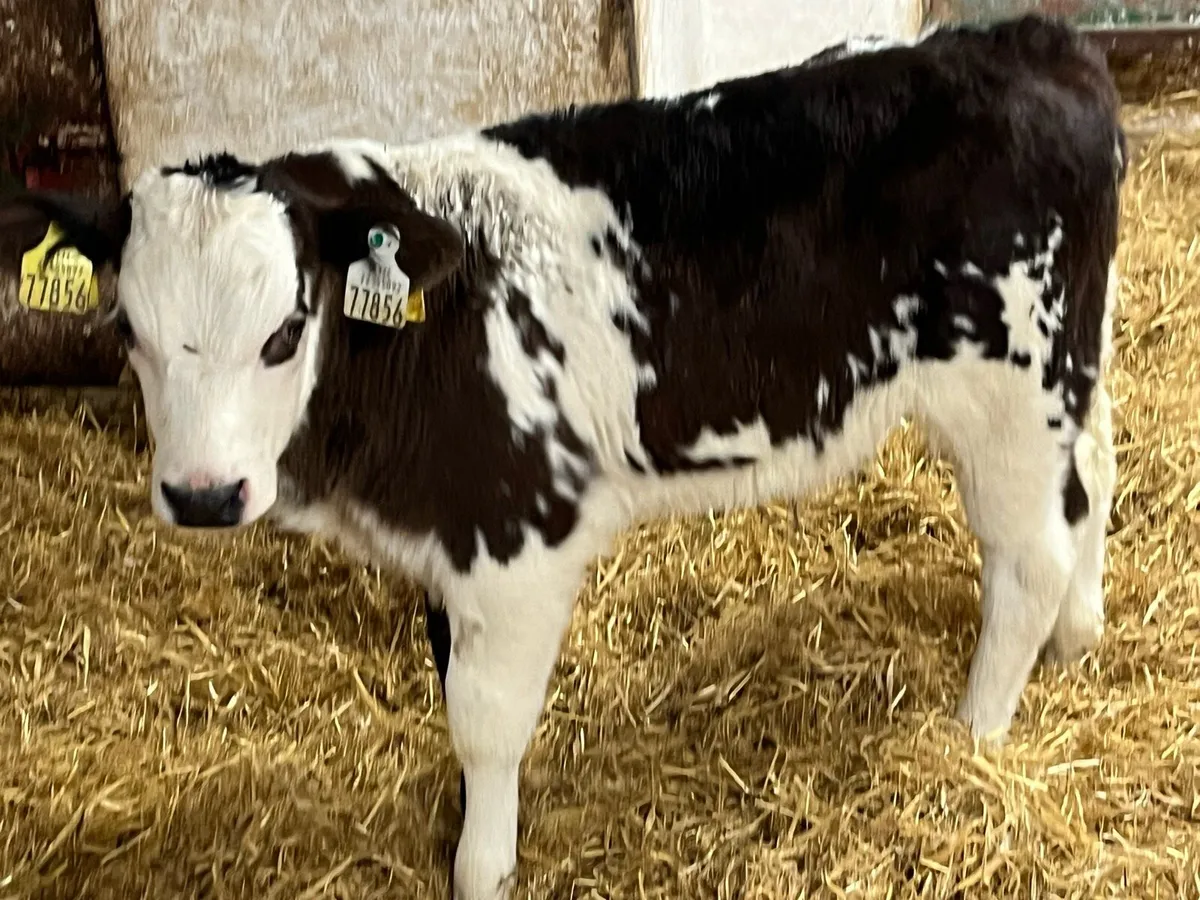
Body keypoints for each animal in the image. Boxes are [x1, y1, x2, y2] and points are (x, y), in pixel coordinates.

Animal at [0, 15, 1125, 899]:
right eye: (126, 330)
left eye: (285, 331)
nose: (202, 494)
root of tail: (1032, 41)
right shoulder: (447, 537)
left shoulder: (515, 535)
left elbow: (484, 719)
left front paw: (481, 868)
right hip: (1069, 369)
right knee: (1097, 476)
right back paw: (1078, 638)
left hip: (1008, 390)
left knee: (1028, 556)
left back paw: (973, 736)